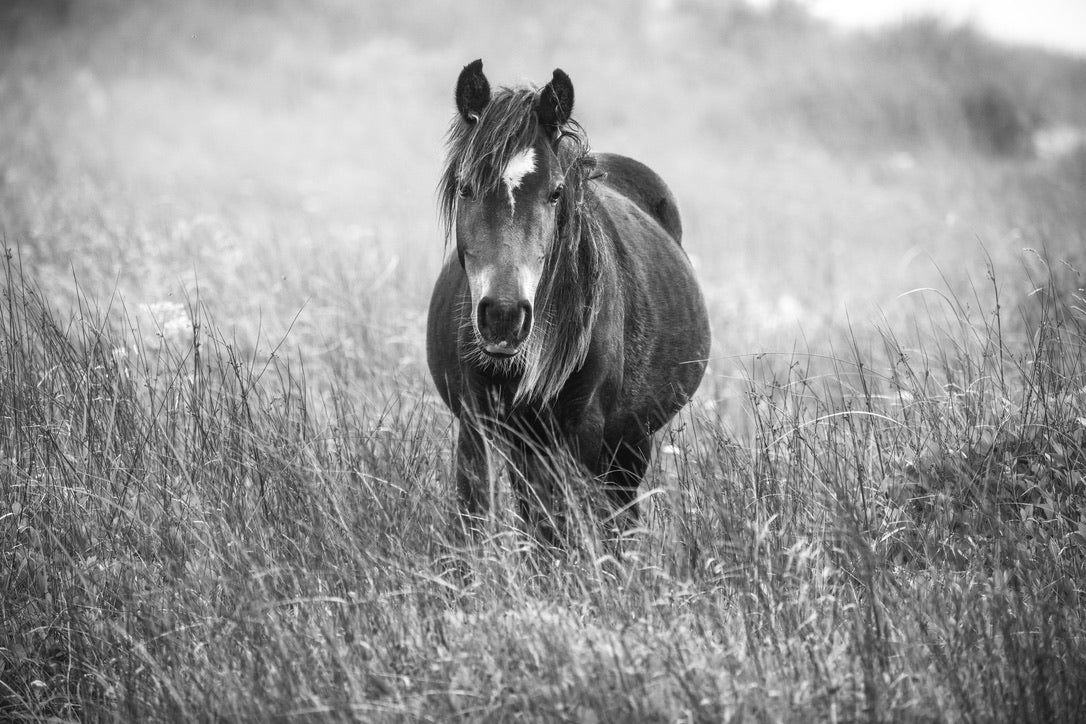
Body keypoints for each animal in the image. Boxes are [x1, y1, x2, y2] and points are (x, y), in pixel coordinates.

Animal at [423, 62, 712, 547]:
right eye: (465, 188)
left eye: (556, 192)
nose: (503, 317)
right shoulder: (476, 424)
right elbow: (477, 519)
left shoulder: (583, 433)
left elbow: (562, 527)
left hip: (630, 442)